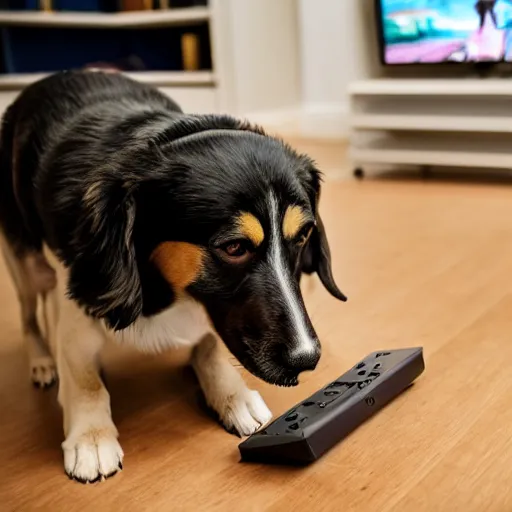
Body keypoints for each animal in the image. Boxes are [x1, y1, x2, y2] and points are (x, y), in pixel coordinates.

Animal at [0, 69, 348, 484]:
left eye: (303, 236)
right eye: (234, 247)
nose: (307, 359)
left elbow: (210, 345)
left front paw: (231, 394)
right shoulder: (77, 303)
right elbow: (83, 376)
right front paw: (91, 435)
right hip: (27, 265)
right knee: (30, 315)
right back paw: (42, 361)